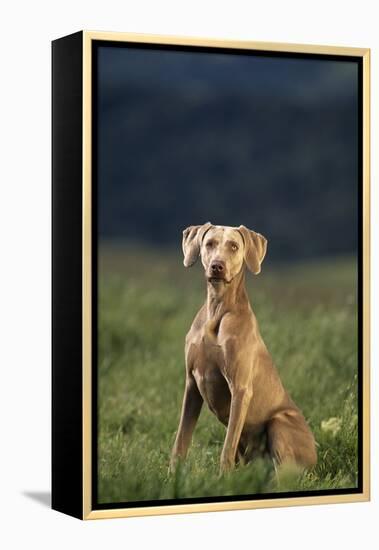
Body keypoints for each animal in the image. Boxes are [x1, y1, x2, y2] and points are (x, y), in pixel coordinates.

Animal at [171, 224, 318, 474]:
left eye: (233, 246)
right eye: (209, 243)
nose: (217, 266)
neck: (217, 309)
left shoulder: (240, 389)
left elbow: (226, 447)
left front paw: (223, 478)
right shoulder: (191, 384)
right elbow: (181, 440)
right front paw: (172, 476)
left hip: (280, 422)